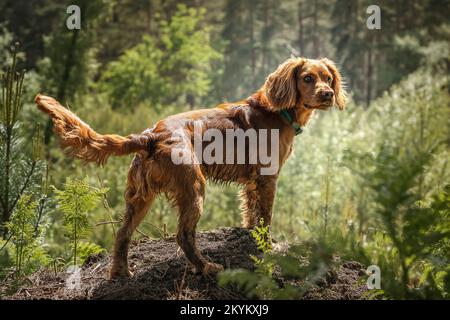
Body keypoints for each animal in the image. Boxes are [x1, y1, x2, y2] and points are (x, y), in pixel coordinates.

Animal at [36, 58, 344, 278]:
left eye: (328, 78)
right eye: (308, 78)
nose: (328, 94)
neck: (278, 111)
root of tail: (150, 136)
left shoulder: (252, 182)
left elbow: (251, 213)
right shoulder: (268, 177)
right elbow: (265, 218)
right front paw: (268, 246)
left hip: (141, 197)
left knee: (123, 234)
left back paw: (120, 273)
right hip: (194, 189)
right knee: (183, 235)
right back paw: (206, 267)